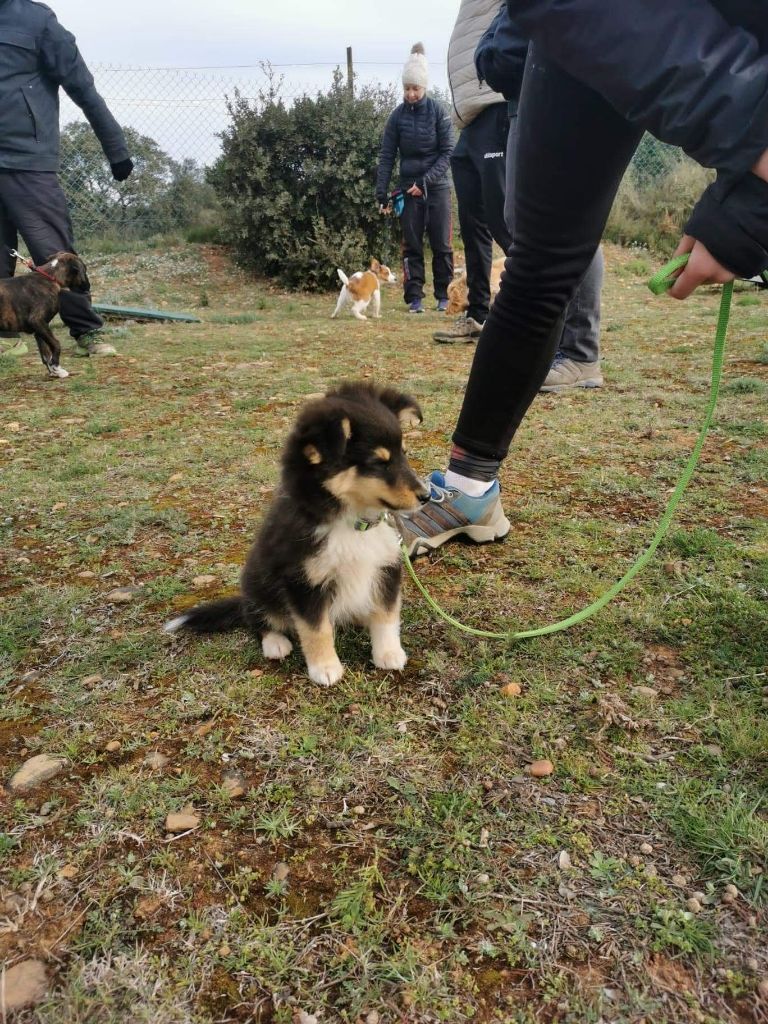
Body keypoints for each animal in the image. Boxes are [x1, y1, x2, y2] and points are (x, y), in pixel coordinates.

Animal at [0, 249, 91, 378]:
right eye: (85, 269)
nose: (88, 287)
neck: (51, 276)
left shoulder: (39, 330)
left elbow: (46, 354)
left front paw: (54, 370)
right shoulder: (37, 321)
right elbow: (56, 344)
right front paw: (57, 367)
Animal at [165, 380, 430, 684]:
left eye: (403, 453)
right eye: (378, 462)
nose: (426, 496)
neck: (352, 522)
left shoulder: (386, 566)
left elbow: (386, 615)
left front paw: (388, 653)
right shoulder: (304, 580)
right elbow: (316, 629)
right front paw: (324, 668)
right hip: (258, 584)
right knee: (256, 618)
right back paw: (275, 643)